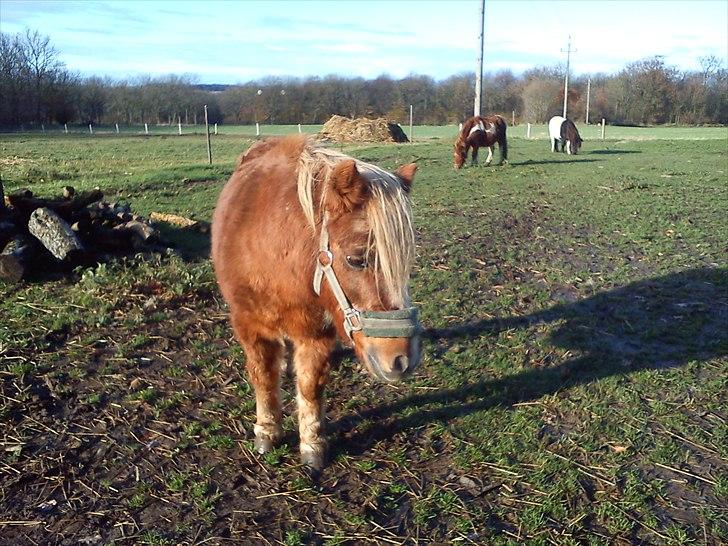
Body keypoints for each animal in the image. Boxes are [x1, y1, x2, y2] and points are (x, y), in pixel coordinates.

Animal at [210, 135, 420, 468]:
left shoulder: (315, 333)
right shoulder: (248, 324)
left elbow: (310, 386)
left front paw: (312, 444)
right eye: (356, 259)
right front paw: (267, 430)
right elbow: (262, 375)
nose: (401, 360)